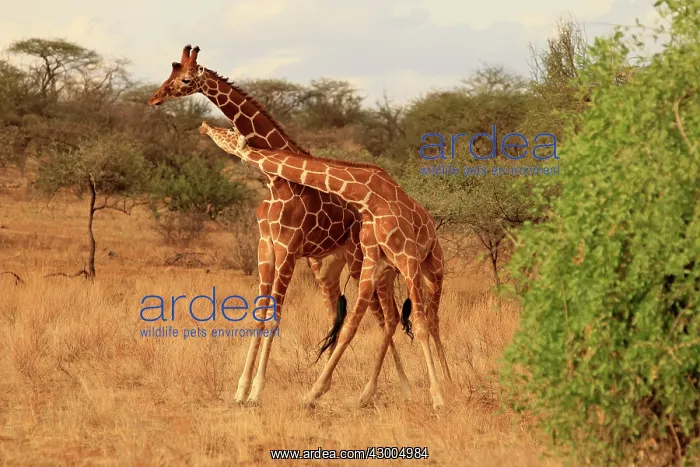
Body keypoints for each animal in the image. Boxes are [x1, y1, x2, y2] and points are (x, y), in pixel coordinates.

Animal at [149, 45, 411, 405]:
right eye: (171, 72)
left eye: (186, 79)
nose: (155, 98)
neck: (275, 181)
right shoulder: (267, 246)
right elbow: (259, 313)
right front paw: (241, 389)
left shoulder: (288, 248)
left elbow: (275, 316)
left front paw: (257, 391)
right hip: (327, 267)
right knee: (344, 315)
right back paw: (335, 385)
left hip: (364, 263)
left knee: (386, 316)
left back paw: (394, 386)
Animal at [199, 122, 451, 409]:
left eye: (228, 132)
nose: (205, 127)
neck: (367, 196)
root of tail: (431, 223)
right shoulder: (373, 263)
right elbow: (349, 326)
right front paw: (312, 393)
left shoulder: (407, 258)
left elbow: (420, 325)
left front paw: (438, 397)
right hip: (387, 274)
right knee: (394, 318)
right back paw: (372, 392)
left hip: (432, 267)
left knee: (432, 319)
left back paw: (448, 384)